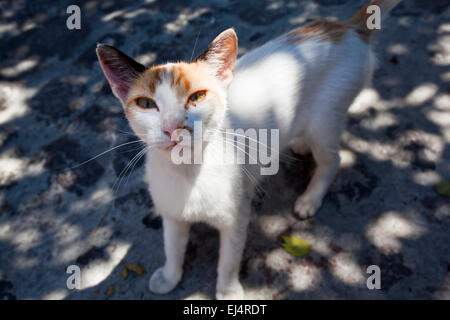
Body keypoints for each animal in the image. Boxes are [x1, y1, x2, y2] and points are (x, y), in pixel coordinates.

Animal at [97, 0, 400, 300]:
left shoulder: (237, 217)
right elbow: (172, 248)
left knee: (333, 159)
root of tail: (346, 28)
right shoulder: (172, 214)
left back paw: (310, 198)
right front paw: (170, 277)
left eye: (197, 97)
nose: (173, 127)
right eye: (146, 104)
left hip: (325, 120)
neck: (188, 174)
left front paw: (228, 291)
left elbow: (228, 260)